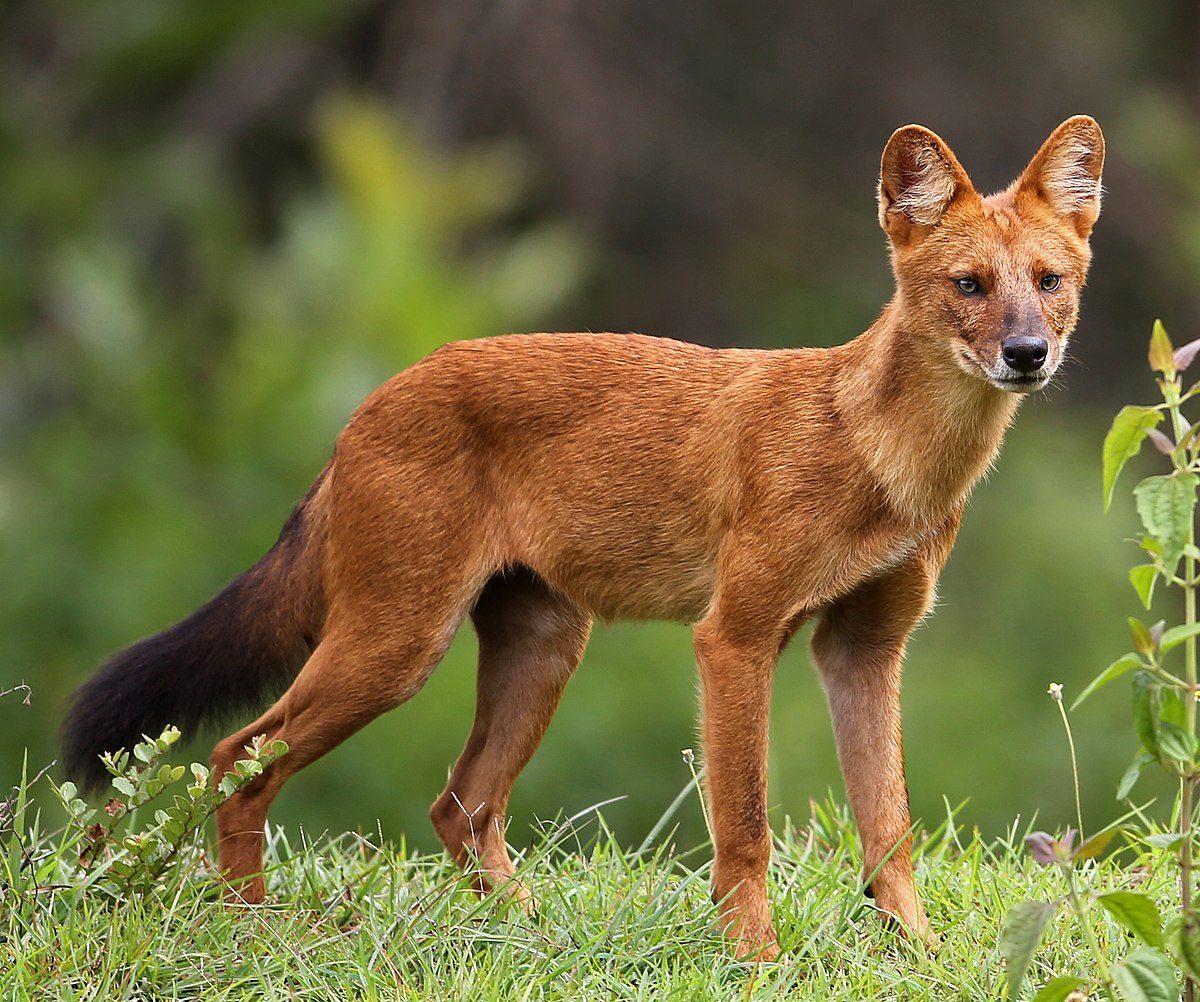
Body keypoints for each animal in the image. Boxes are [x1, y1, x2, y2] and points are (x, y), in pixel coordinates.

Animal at [60, 117, 1099, 964]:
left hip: (544, 647)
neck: (884, 457)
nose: (1028, 354)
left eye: (1049, 283)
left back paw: (531, 934)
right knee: (240, 757)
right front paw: (756, 961)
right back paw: (252, 929)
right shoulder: (735, 636)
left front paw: (919, 952)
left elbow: (890, 824)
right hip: (397, 646)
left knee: (459, 803)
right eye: (968, 286)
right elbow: (747, 823)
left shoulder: (866, 648)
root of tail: (367, 406)